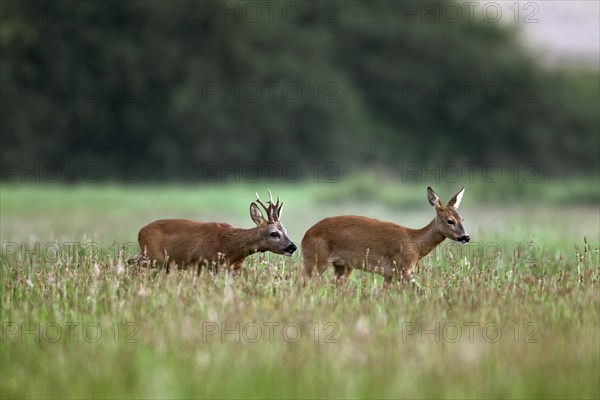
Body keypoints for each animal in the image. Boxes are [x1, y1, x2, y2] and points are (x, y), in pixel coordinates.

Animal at [127, 190, 296, 270]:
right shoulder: (203, 263)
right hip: (154, 257)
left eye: (286, 231)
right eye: (274, 233)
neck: (228, 246)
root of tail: (140, 232)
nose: (292, 247)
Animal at [300, 187, 468, 284]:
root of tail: (305, 236)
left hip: (343, 266)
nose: (466, 237)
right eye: (450, 221)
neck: (415, 244)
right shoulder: (402, 270)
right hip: (315, 259)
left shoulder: (389, 275)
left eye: (462, 219)